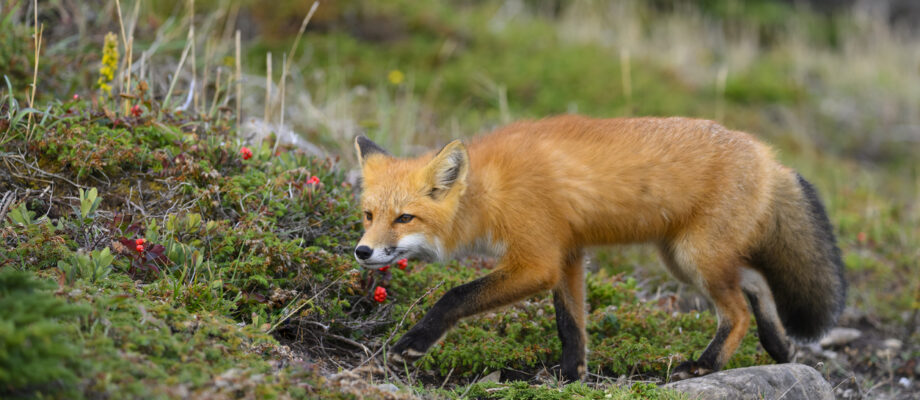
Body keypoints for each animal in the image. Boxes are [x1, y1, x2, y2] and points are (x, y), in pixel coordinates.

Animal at [352, 115, 846, 382]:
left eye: (405, 218)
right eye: (369, 215)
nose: (361, 252)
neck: (491, 190)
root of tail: (770, 158)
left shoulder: (538, 262)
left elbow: (454, 295)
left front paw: (414, 342)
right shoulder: (567, 256)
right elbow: (570, 323)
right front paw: (571, 374)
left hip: (695, 257)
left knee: (738, 311)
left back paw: (705, 366)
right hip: (683, 258)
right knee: (756, 281)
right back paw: (780, 347)